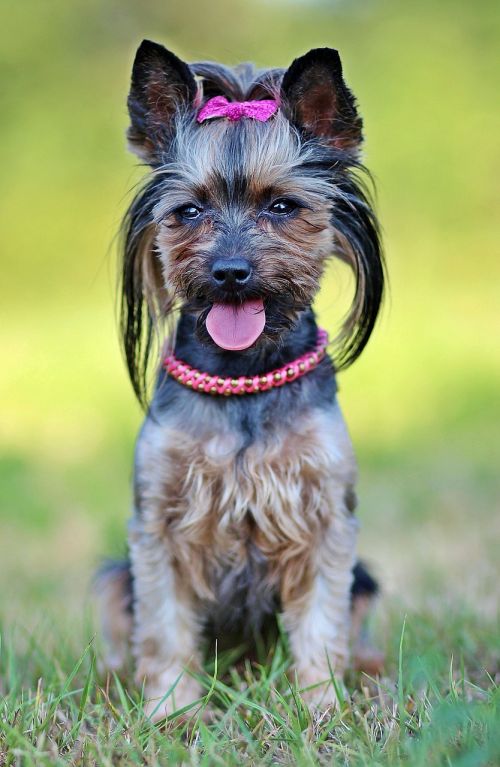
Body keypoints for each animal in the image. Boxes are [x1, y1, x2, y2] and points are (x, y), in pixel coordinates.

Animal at [98, 37, 386, 720]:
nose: (230, 271)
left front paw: (322, 708)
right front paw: (170, 712)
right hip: (114, 576)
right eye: (188, 211)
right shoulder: (158, 527)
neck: (243, 378)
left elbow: (321, 625)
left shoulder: (325, 520)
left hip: (367, 577)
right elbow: (164, 628)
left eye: (283, 206)